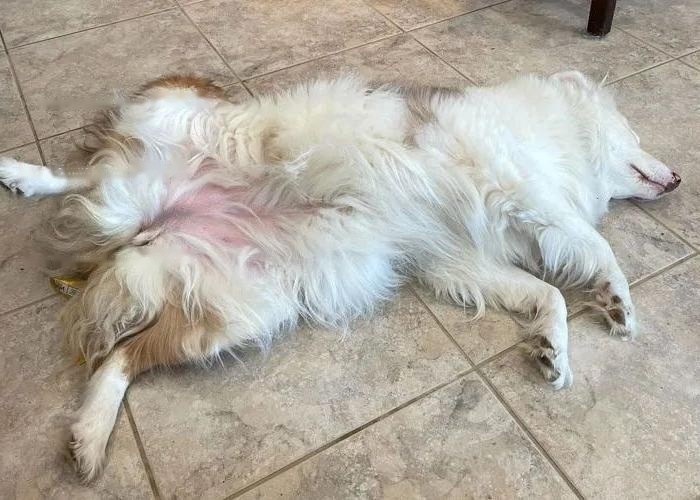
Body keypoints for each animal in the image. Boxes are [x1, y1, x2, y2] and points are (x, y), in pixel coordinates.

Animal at [0, 71, 681, 481]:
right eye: (636, 135)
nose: (677, 177)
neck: (554, 131)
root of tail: (153, 225)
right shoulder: (527, 191)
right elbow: (594, 245)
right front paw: (619, 302)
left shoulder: (458, 259)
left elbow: (546, 295)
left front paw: (553, 350)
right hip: (163, 154)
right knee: (83, 175)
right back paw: (21, 173)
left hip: (230, 314)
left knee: (118, 357)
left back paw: (89, 439)